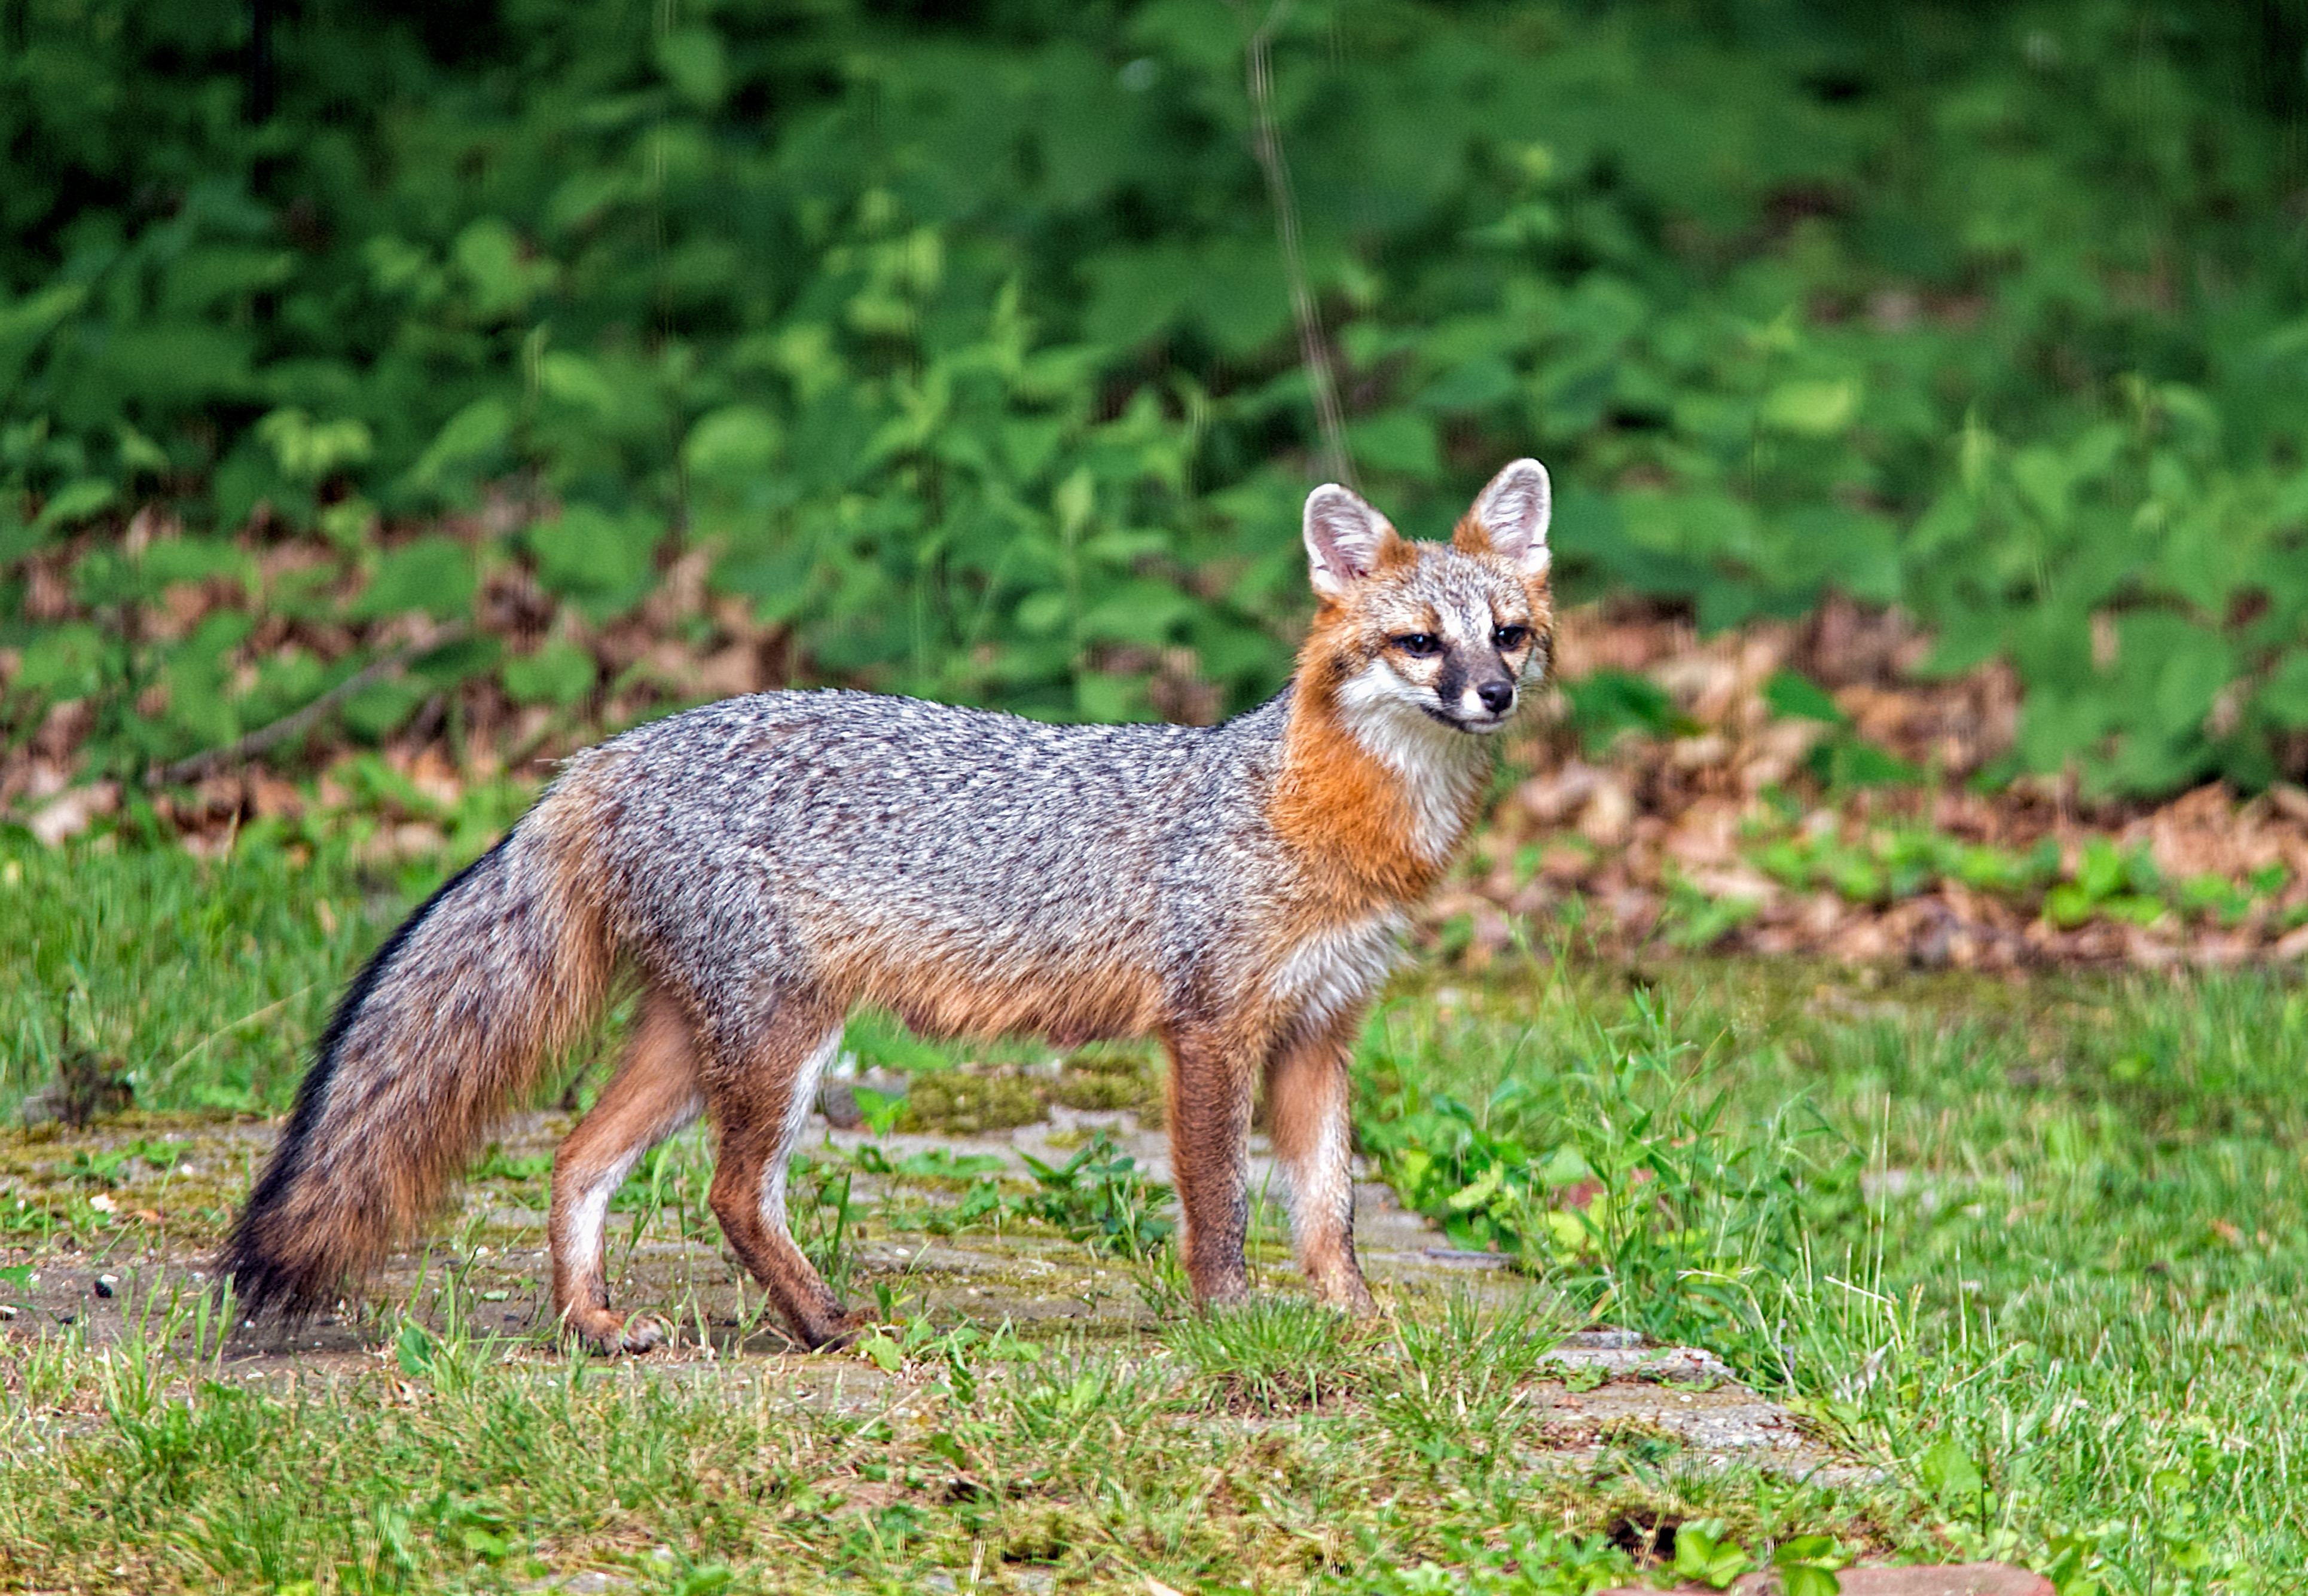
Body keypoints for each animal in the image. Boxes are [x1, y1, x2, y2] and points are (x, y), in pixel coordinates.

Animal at [220, 458, 1556, 1353]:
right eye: (1418, 643)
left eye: (1508, 633)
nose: (1493, 696)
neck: (1323, 821)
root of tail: (611, 752)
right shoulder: (1212, 1032)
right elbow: (1224, 1209)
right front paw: (1234, 1328)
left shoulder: (1322, 1032)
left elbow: (1328, 1214)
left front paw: (1360, 1326)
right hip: (784, 1044)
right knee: (728, 1193)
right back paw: (824, 1323)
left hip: (698, 1043)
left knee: (575, 1160)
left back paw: (596, 1326)